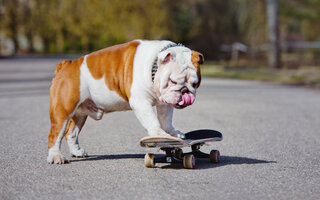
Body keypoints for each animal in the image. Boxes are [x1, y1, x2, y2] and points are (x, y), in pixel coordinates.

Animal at [47, 39, 202, 164]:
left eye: (195, 84)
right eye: (172, 81)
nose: (185, 92)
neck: (153, 67)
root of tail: (66, 65)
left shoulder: (164, 103)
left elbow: (166, 119)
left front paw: (172, 133)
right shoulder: (140, 102)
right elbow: (152, 120)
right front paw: (159, 135)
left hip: (80, 113)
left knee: (71, 133)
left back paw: (77, 152)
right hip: (63, 110)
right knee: (55, 134)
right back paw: (56, 157)